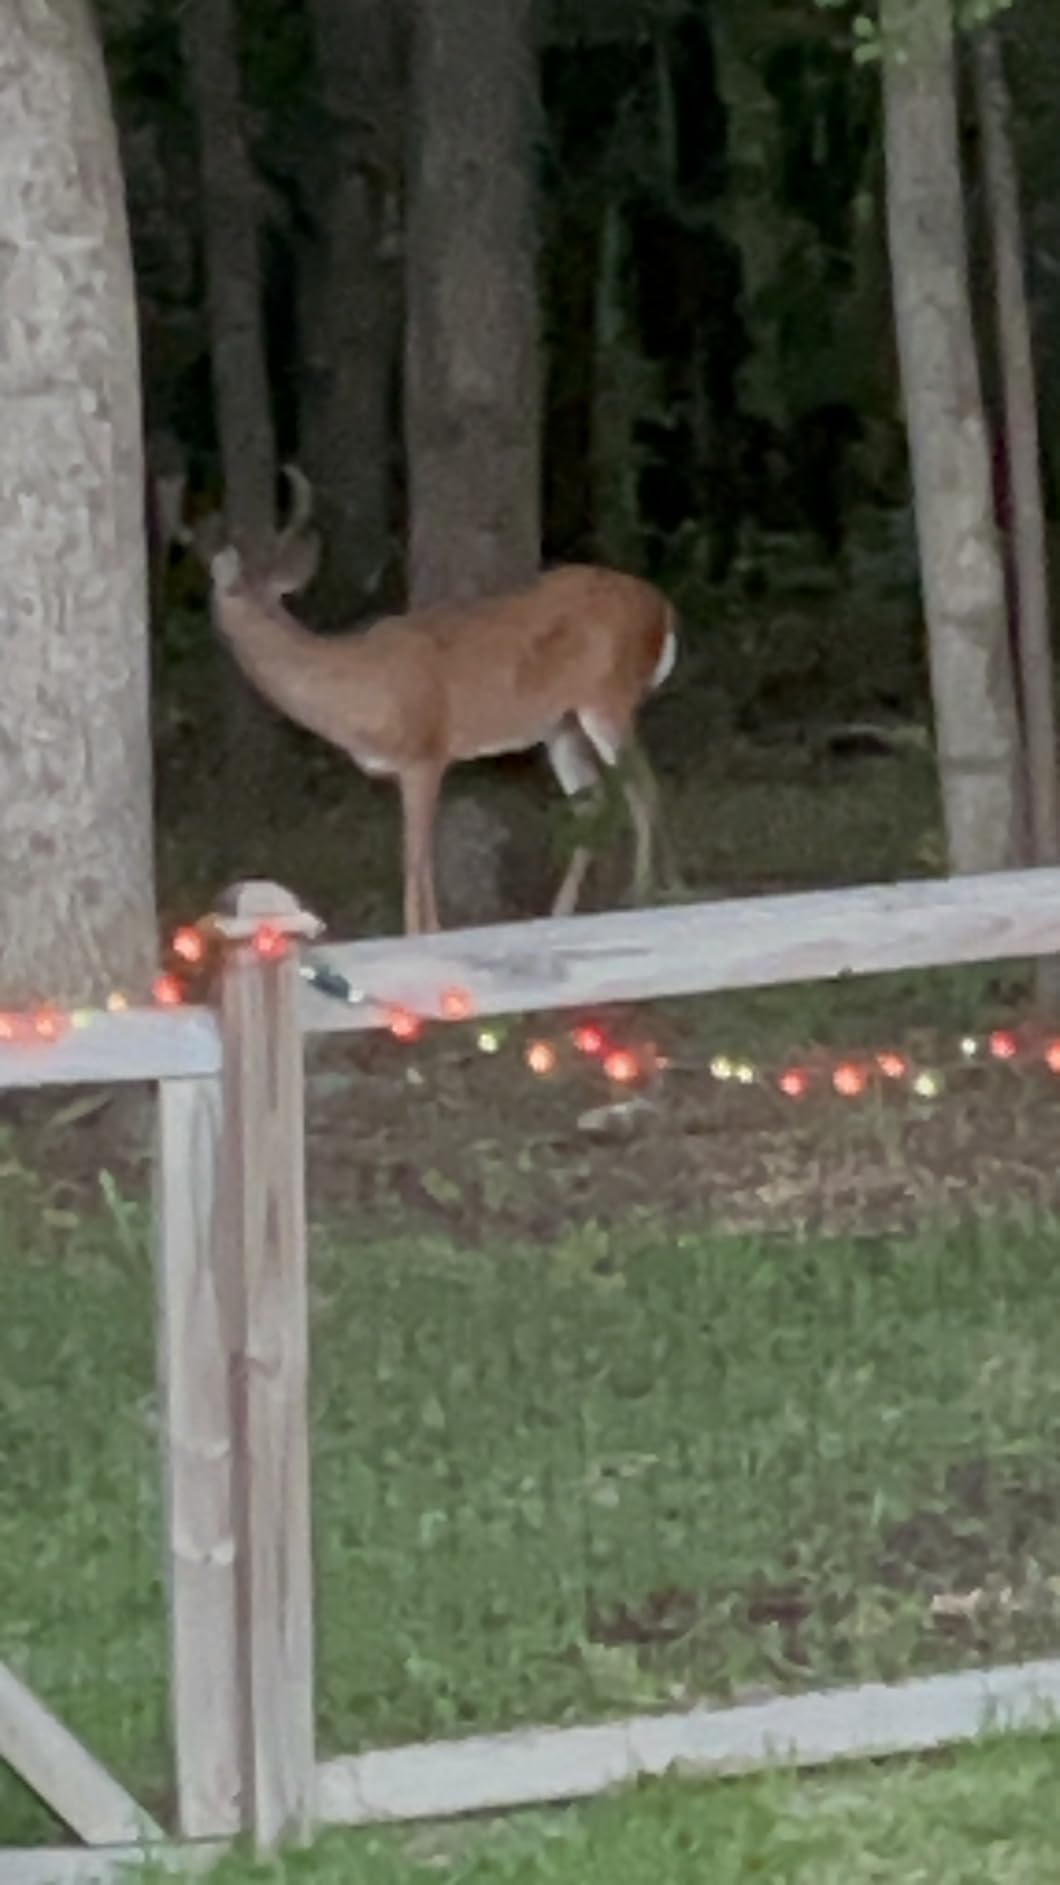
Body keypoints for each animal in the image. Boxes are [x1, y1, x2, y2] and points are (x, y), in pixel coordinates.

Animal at [190, 468, 678, 934]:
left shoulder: (424, 754)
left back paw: (647, 894)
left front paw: (421, 935)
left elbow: (416, 864)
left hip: (609, 695)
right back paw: (560, 915)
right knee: (593, 801)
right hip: (562, 727)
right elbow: (418, 863)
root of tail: (663, 609)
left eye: (218, 593)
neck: (354, 690)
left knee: (645, 788)